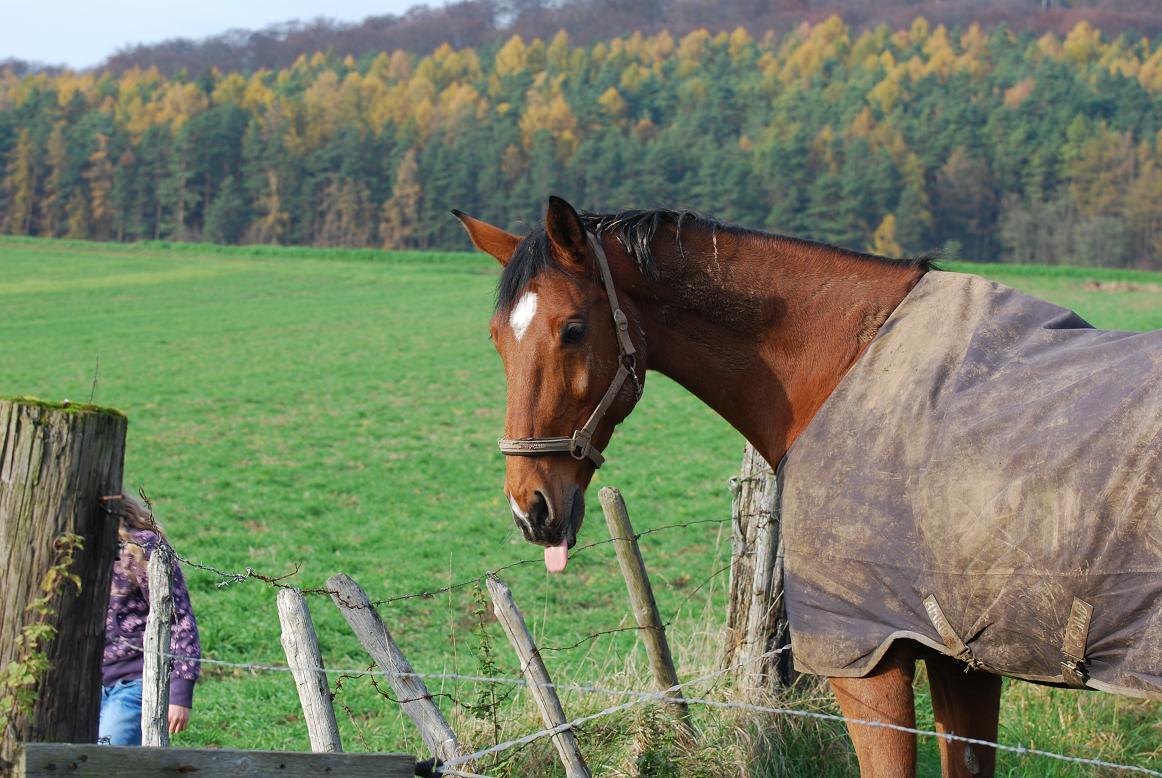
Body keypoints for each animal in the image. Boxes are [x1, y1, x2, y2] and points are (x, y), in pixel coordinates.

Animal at [453, 196, 1008, 778]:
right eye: (496, 338)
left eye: (574, 330)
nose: (529, 509)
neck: (859, 367)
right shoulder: (961, 662)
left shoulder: (871, 660)